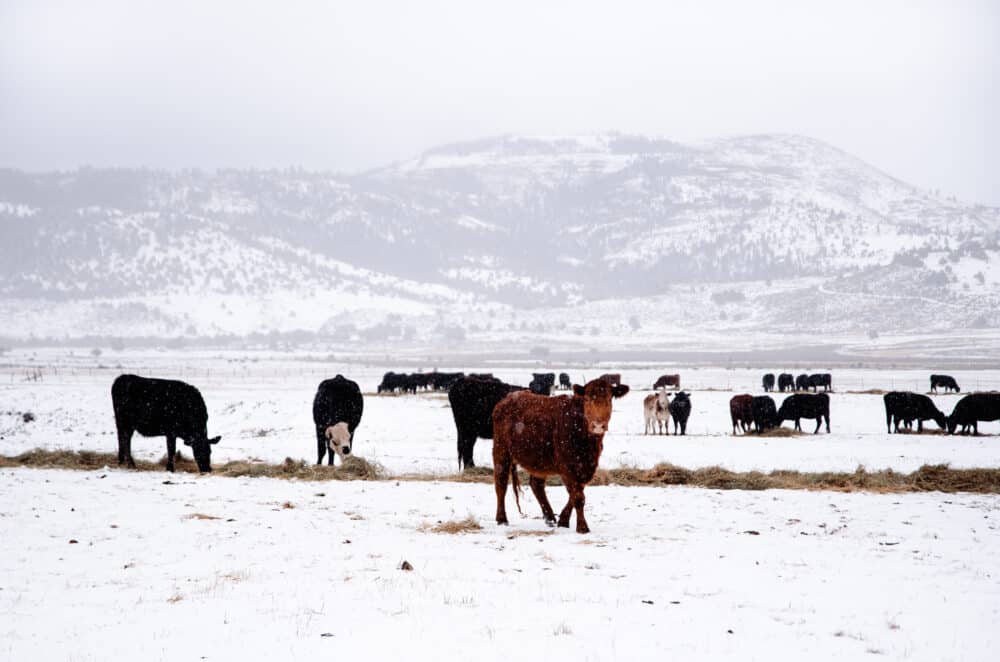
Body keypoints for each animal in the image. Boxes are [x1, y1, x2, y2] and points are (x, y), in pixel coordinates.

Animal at [494, 378, 628, 536]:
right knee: (501, 483)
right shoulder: (568, 466)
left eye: (609, 399)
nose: (598, 425)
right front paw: (582, 527)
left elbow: (575, 493)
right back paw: (502, 519)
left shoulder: (587, 467)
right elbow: (578, 497)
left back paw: (550, 517)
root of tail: (509, 398)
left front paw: (563, 520)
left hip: (539, 459)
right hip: (501, 451)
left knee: (536, 484)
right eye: (587, 399)